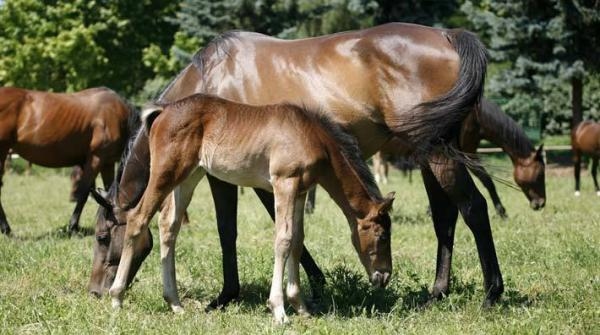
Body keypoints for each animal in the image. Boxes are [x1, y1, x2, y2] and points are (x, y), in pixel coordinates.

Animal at [0, 86, 134, 236]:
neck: (119, 116)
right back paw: (6, 229)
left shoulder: (107, 163)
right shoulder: (96, 158)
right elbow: (85, 191)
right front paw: (73, 227)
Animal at [92, 94, 394, 322]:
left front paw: (301, 307)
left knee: (169, 227)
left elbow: (297, 241)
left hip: (188, 177)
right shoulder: (285, 183)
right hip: (166, 174)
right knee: (137, 219)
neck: (310, 134)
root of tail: (163, 111)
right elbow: (283, 241)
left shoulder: (299, 192)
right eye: (382, 236)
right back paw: (117, 298)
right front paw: (279, 310)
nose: (384, 276)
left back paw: (175, 303)